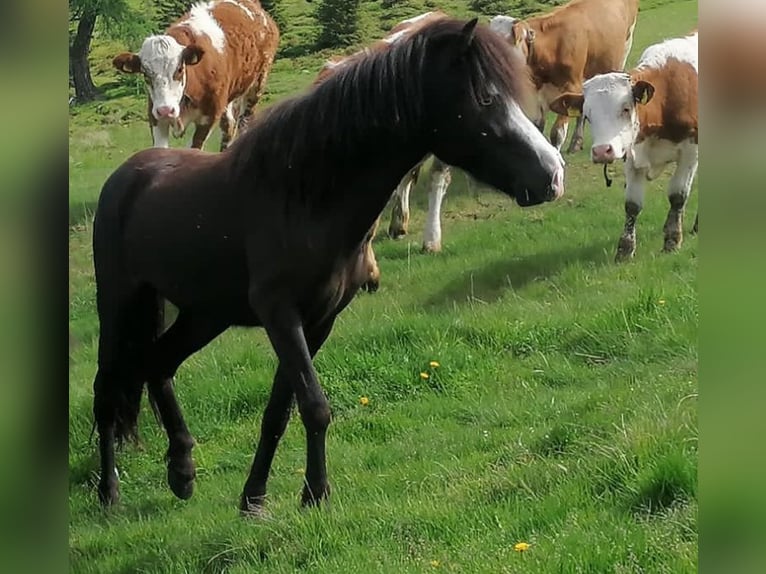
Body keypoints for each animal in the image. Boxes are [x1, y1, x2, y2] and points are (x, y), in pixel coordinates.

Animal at [90, 17, 565, 515]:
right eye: (486, 98)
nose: (553, 176)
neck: (306, 198)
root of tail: (128, 174)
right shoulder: (281, 315)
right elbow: (314, 405)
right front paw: (315, 493)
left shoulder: (319, 320)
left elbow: (281, 410)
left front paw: (255, 498)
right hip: (118, 303)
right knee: (107, 392)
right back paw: (109, 492)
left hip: (205, 314)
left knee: (158, 364)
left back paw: (182, 471)